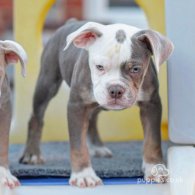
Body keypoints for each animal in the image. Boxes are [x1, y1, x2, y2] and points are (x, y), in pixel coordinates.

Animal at [19, 19, 173, 187]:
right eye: (99, 67)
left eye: (136, 69)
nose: (115, 90)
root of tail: (70, 22)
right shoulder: (77, 106)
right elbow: (78, 144)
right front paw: (84, 175)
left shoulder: (151, 104)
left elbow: (153, 140)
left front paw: (154, 168)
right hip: (47, 83)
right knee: (36, 118)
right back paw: (32, 154)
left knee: (92, 119)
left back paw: (97, 147)